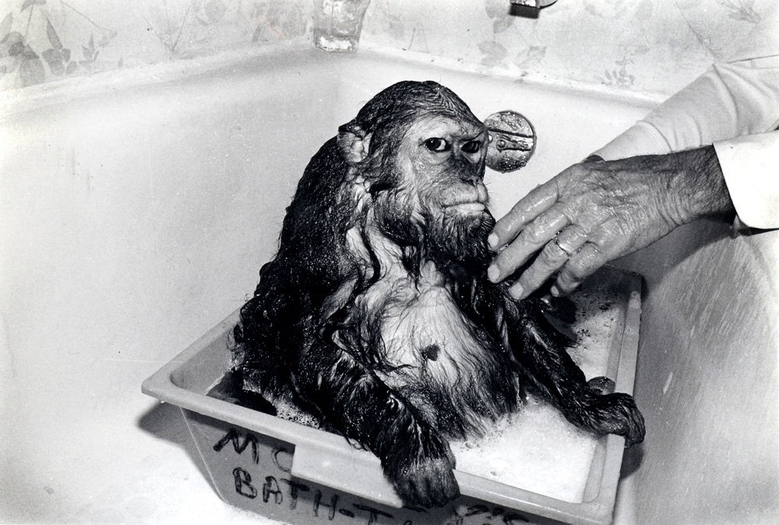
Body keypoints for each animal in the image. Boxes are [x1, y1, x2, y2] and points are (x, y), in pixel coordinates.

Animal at [231, 80, 645, 508]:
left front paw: (588, 403)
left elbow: (509, 301)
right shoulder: (325, 224)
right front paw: (416, 449)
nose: (468, 178)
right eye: (437, 145)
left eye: (473, 147)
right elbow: (311, 338)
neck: (398, 228)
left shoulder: (477, 230)